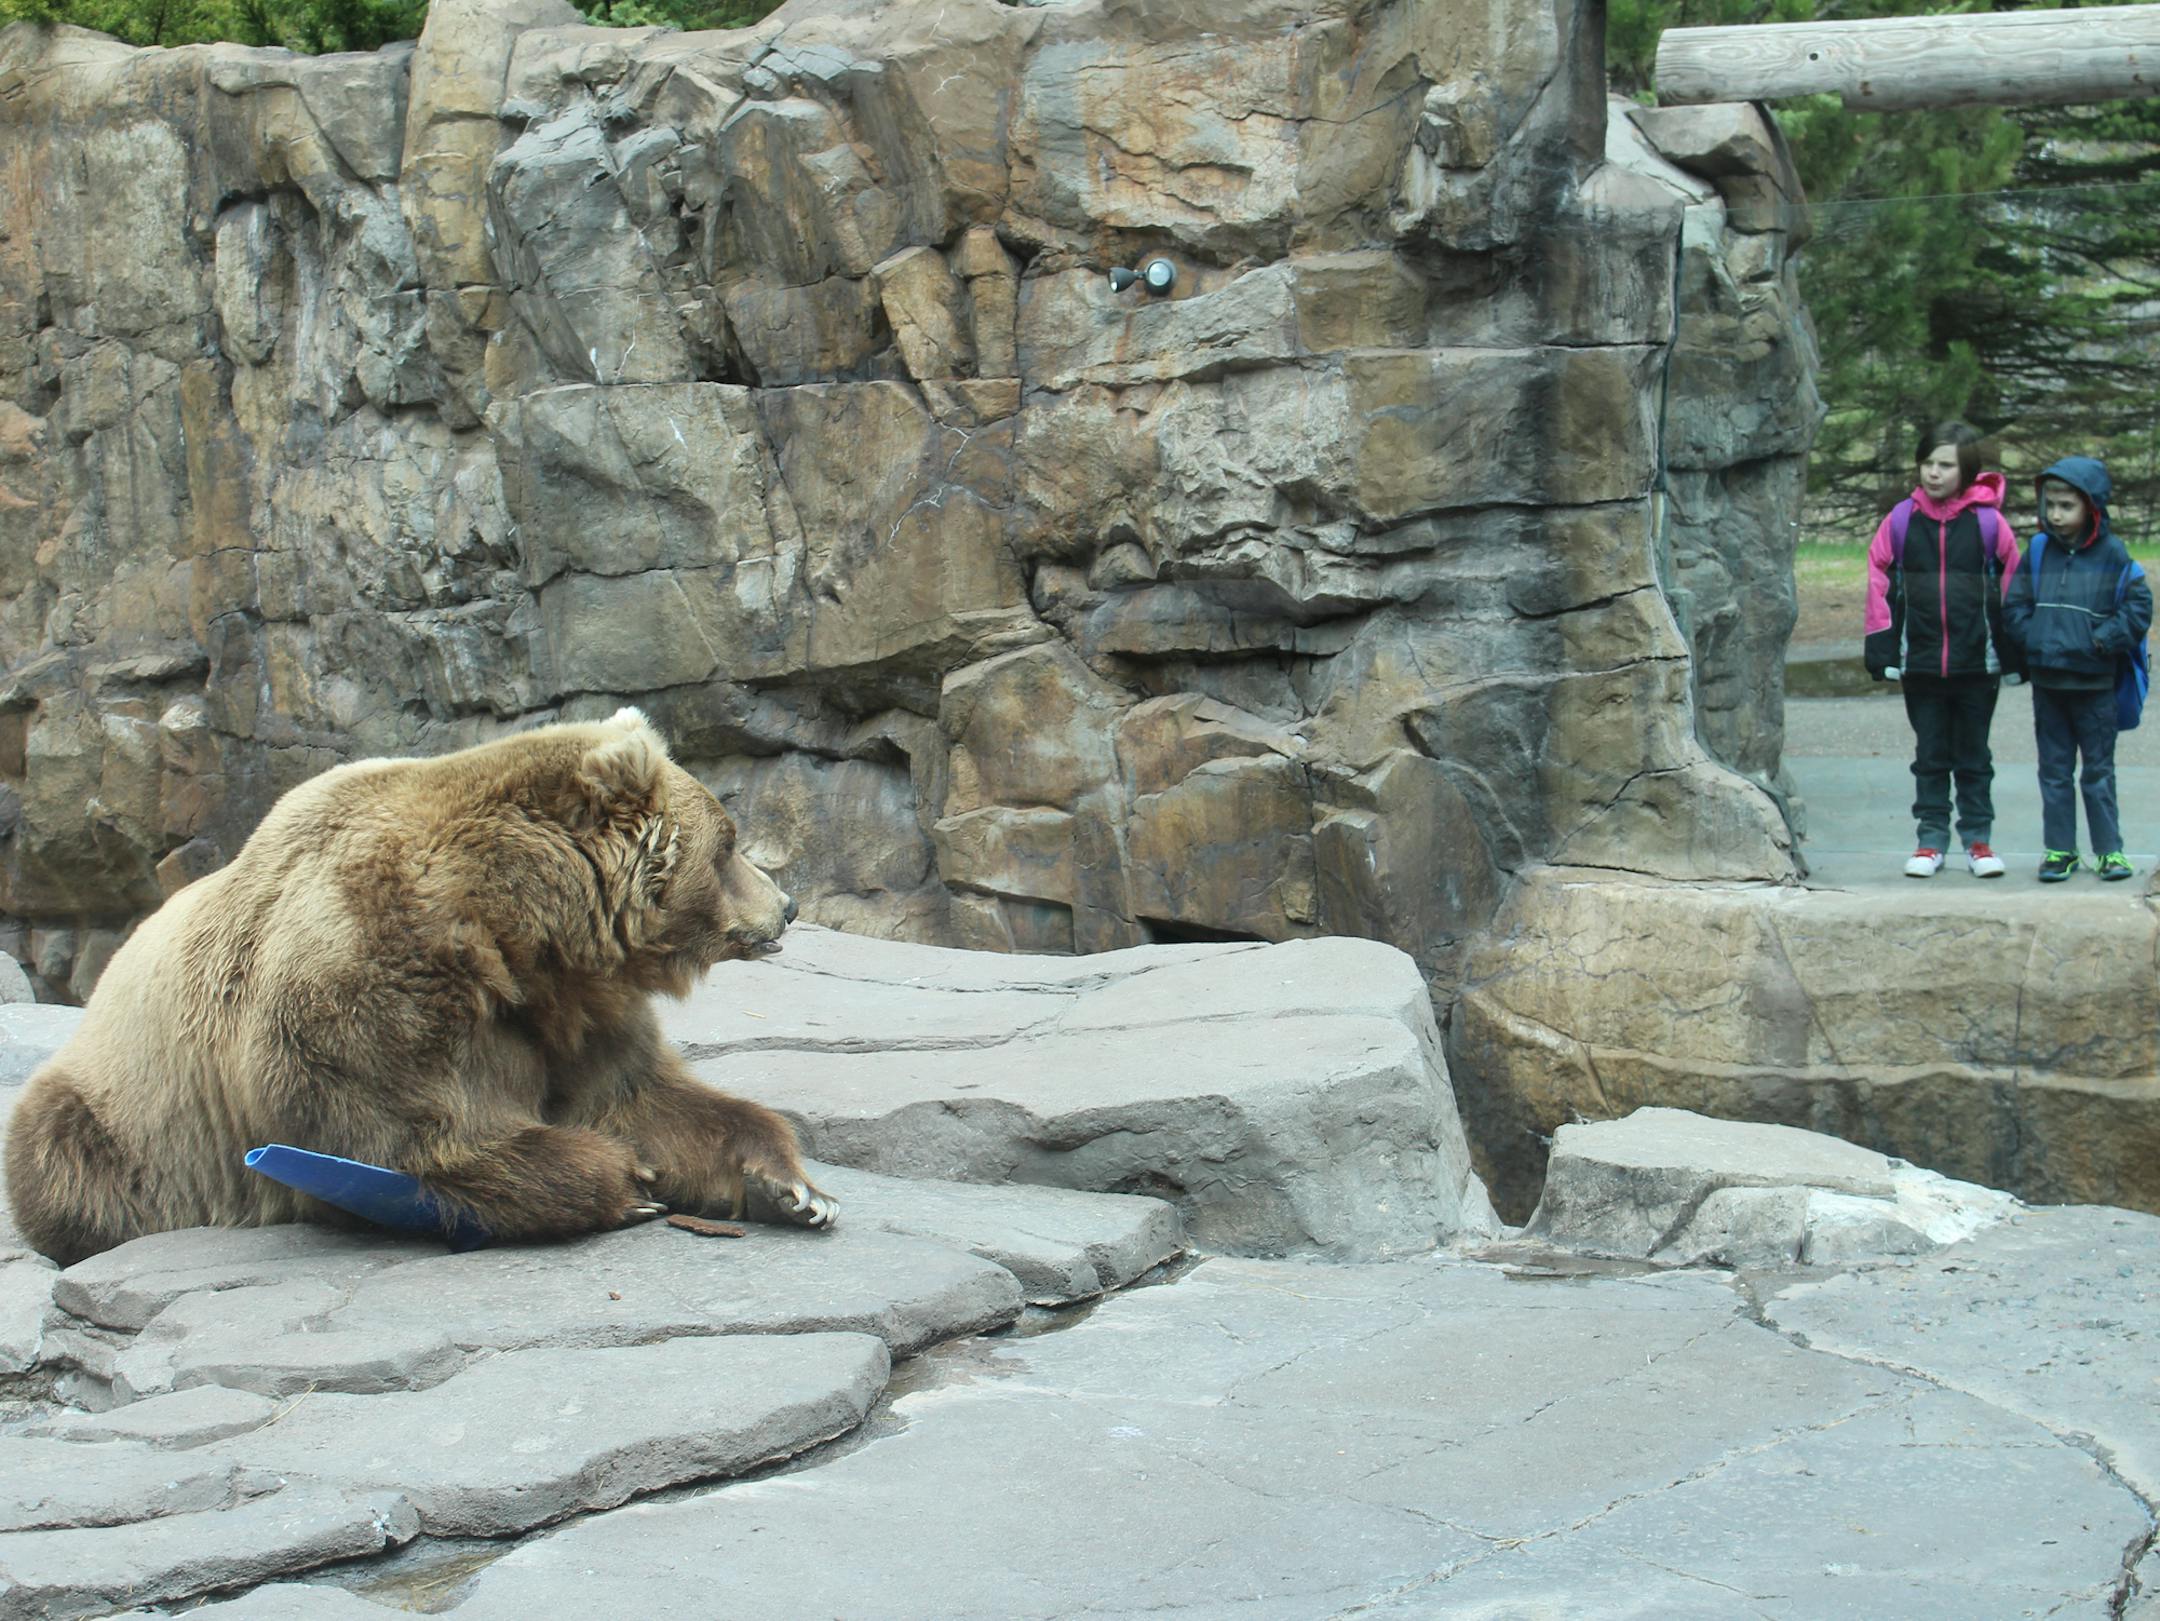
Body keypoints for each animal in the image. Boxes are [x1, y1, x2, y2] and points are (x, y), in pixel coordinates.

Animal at [3, 708, 836, 1266]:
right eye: (728, 844)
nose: (788, 903)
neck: (515, 935)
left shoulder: (574, 1011)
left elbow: (641, 1096)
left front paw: (794, 1188)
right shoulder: (368, 983)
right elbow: (417, 1134)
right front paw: (627, 1180)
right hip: (118, 1119)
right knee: (64, 1162)